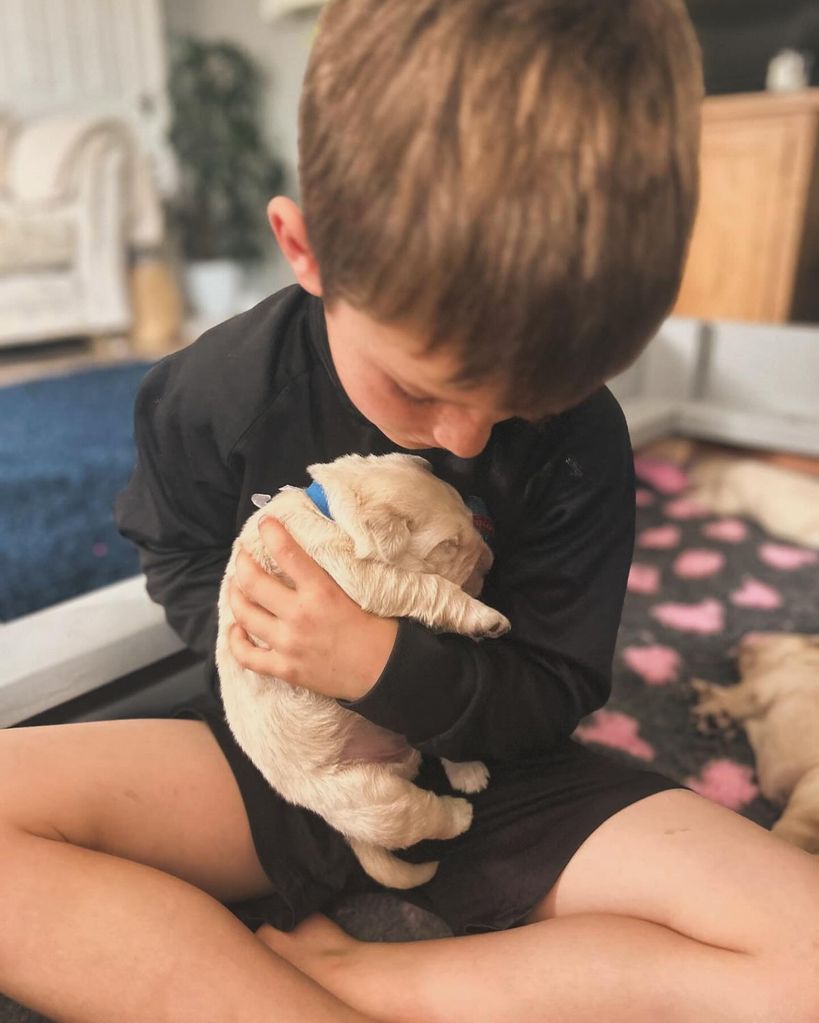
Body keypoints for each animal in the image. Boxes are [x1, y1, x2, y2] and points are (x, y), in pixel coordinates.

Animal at [216, 452, 511, 892]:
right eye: (447, 546)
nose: (491, 563)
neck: (330, 514)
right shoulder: (358, 575)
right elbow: (427, 587)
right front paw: (485, 617)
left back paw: (469, 771)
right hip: (375, 799)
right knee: (421, 816)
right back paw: (460, 813)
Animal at [691, 630, 817, 855]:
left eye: (774, 636)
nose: (744, 642)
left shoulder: (763, 685)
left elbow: (736, 695)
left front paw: (712, 704)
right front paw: (714, 709)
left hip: (809, 793)